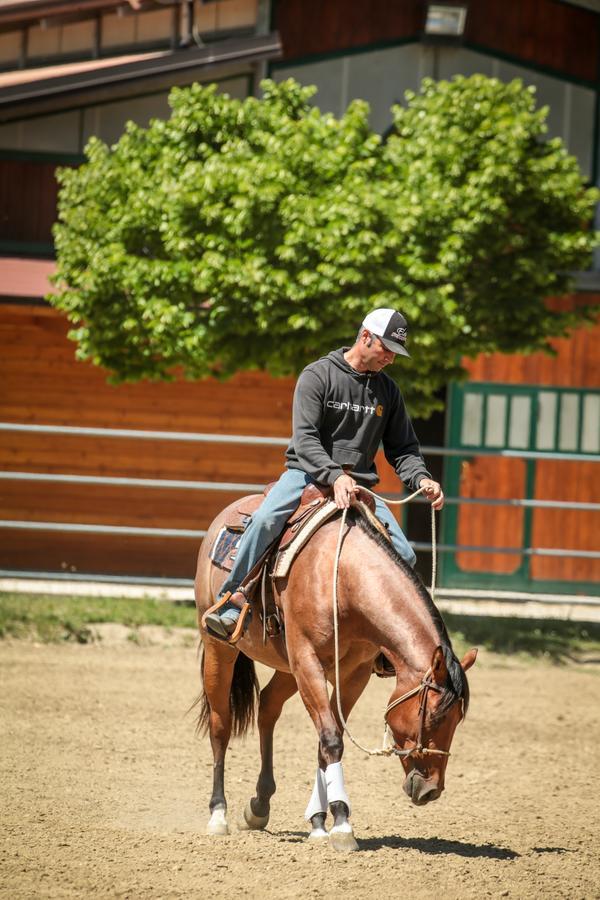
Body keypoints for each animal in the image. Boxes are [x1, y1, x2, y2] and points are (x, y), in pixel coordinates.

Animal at [196, 496, 478, 856]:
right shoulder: (308, 660)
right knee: (221, 724)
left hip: (287, 667)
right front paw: (342, 823)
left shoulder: (353, 674)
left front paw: (319, 821)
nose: (431, 789)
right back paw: (218, 814)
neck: (343, 578)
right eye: (430, 717)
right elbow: (330, 738)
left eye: (456, 720)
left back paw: (259, 805)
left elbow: (327, 740)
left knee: (268, 707)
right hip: (221, 649)